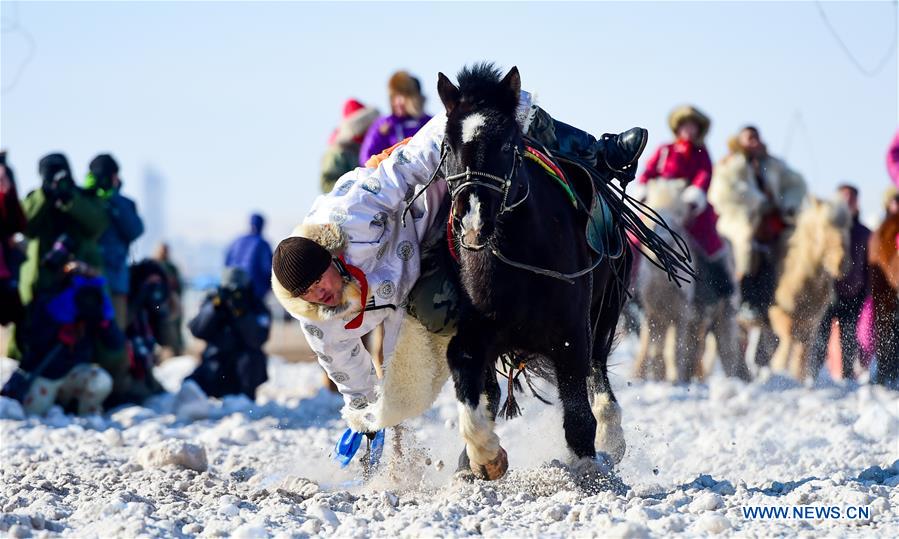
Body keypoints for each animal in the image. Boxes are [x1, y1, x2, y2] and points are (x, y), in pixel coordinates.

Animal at [440, 65, 636, 484]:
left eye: (507, 145)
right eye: (448, 145)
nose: (473, 220)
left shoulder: (571, 333)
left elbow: (578, 408)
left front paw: (587, 469)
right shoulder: (477, 329)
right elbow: (467, 374)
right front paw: (483, 456)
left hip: (606, 310)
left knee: (598, 373)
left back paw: (611, 437)